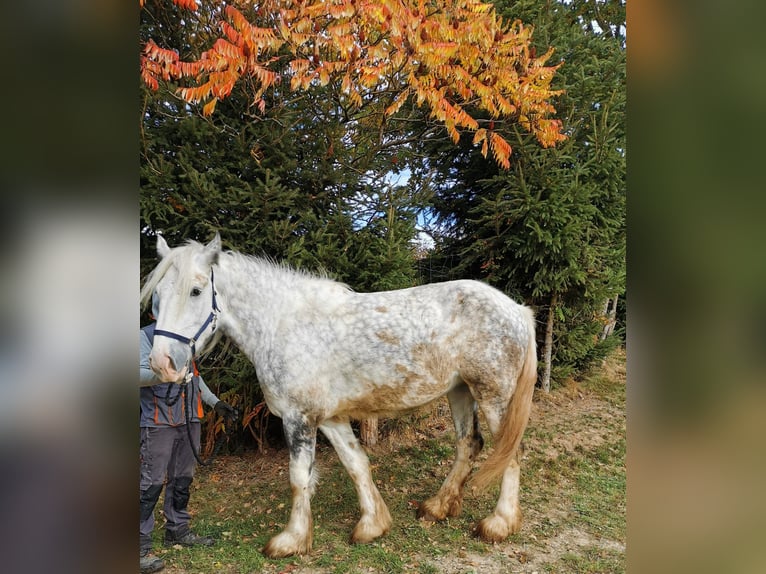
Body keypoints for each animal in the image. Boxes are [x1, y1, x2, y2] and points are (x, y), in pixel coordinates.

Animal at [140, 233, 538, 558]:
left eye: (195, 291)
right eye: (157, 296)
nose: (162, 363)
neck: (283, 324)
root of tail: (518, 310)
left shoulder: (299, 417)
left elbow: (299, 477)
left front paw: (290, 540)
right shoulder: (330, 418)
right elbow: (356, 463)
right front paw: (372, 526)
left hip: (494, 396)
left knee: (509, 453)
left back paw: (499, 524)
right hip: (460, 391)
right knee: (469, 444)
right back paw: (437, 507)